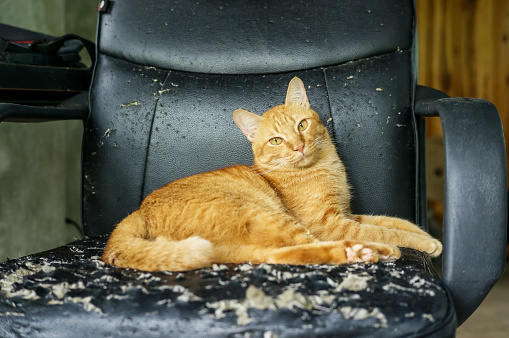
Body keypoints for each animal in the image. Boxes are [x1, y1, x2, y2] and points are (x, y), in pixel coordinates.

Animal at [100, 77, 440, 272]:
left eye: (302, 125)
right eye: (276, 140)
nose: (298, 146)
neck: (325, 168)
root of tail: (138, 213)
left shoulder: (348, 214)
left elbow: (393, 222)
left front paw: (427, 238)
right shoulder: (329, 223)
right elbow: (384, 231)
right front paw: (419, 243)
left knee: (278, 255)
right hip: (268, 215)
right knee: (311, 247)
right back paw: (371, 251)